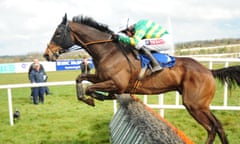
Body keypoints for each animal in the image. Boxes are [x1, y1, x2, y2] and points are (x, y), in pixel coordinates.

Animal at [43, 13, 240, 144]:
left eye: (58, 33)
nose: (47, 54)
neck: (107, 51)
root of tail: (208, 71)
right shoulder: (100, 77)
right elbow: (80, 78)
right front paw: (91, 97)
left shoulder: (116, 83)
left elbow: (90, 88)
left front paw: (96, 98)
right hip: (198, 105)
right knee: (217, 126)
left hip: (195, 105)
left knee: (213, 127)